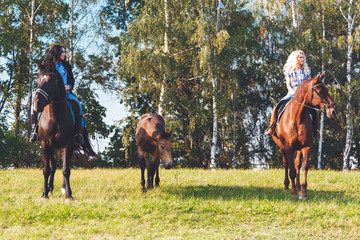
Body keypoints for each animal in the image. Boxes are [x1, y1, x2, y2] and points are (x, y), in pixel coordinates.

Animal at [32, 62, 96, 199]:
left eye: (51, 82)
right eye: (38, 80)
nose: (36, 104)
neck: (54, 116)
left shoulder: (67, 144)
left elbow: (66, 170)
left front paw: (68, 194)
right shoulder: (45, 144)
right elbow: (46, 170)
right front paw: (44, 194)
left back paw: (63, 187)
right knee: (53, 166)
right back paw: (50, 188)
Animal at [272, 71, 338, 199]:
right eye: (320, 91)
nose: (333, 110)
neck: (297, 118)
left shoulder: (306, 146)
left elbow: (304, 166)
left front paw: (302, 192)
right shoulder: (288, 147)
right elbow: (291, 170)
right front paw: (293, 192)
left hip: (298, 148)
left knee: (297, 164)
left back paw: (297, 187)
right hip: (282, 147)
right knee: (286, 164)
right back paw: (287, 187)